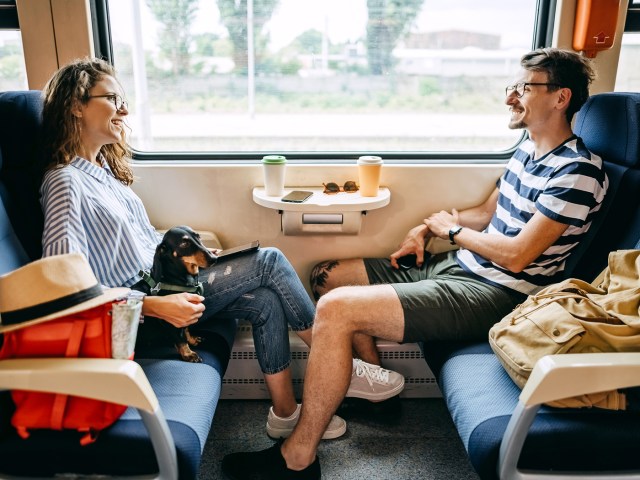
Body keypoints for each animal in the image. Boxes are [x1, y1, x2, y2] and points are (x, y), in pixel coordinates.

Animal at [138, 227, 218, 362]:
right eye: (184, 243)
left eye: (198, 236)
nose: (214, 258)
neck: (175, 279)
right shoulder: (170, 320)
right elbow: (180, 339)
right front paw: (188, 354)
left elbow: (186, 329)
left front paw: (192, 340)